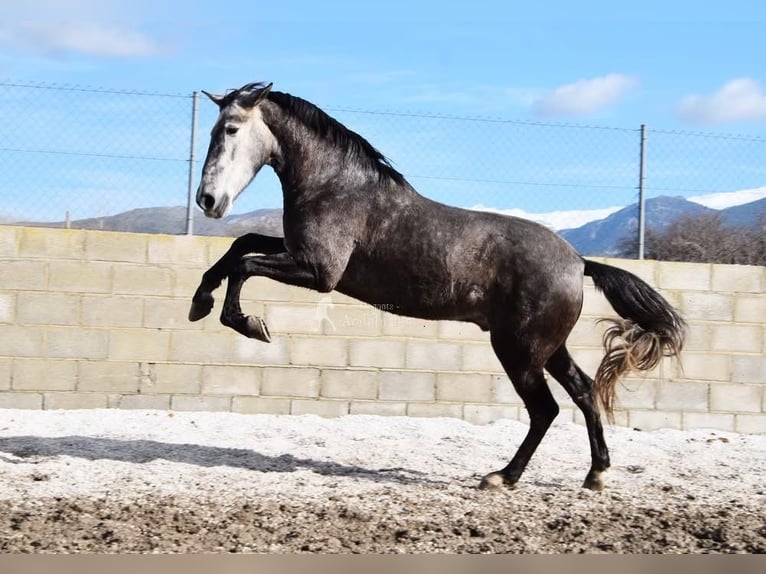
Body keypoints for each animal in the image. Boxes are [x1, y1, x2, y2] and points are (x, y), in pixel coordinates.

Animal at [188, 82, 685, 491]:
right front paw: (199, 302)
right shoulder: (297, 253)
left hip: (519, 350)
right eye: (212, 130)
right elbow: (242, 245)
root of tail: (579, 262)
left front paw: (249, 324)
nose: (208, 201)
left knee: (545, 409)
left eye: (230, 129)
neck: (334, 187)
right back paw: (595, 474)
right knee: (583, 392)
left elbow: (245, 264)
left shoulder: (319, 271)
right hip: (547, 348)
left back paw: (501, 477)